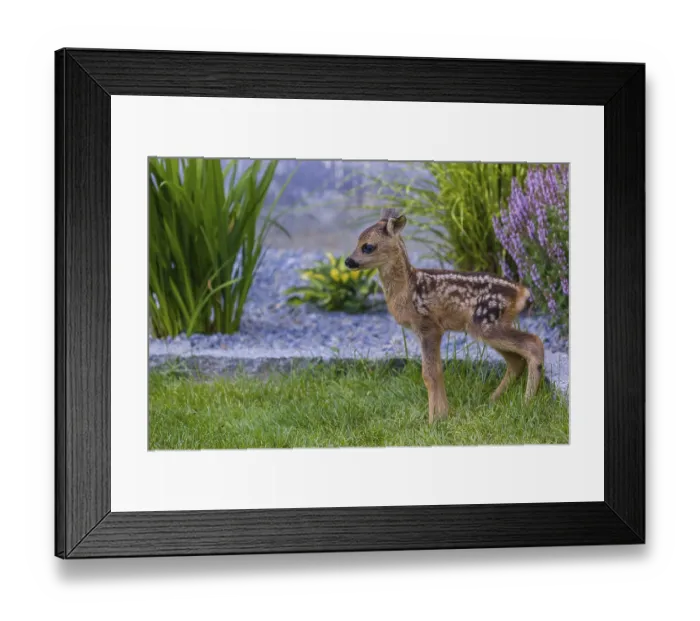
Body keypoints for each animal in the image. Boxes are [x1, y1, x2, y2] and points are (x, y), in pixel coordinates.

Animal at [344, 208, 545, 424]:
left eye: (368, 246)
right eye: (357, 241)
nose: (348, 261)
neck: (406, 289)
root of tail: (521, 292)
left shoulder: (428, 325)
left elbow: (429, 374)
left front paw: (433, 421)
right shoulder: (432, 330)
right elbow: (438, 371)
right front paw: (444, 415)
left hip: (486, 323)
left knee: (533, 343)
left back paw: (526, 403)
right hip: (489, 325)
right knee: (516, 360)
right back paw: (491, 400)